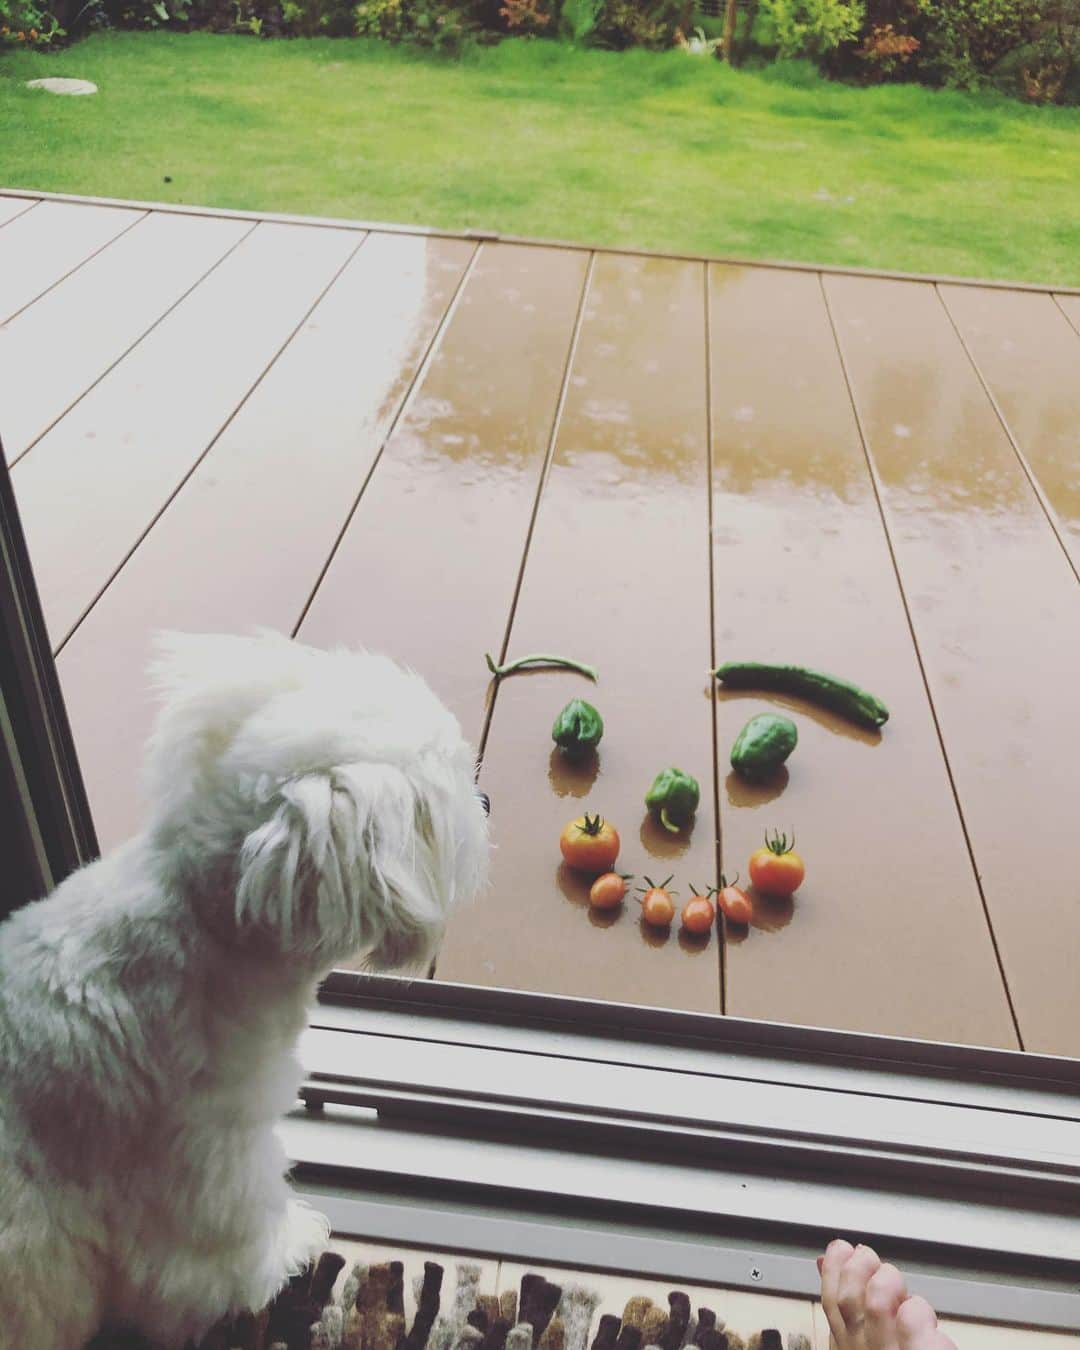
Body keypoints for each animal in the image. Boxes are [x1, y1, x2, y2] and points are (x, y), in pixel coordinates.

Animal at [0, 626, 488, 1344]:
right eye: (448, 792)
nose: (487, 801)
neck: (203, 921)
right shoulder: (208, 1161)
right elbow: (226, 1247)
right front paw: (288, 1252)